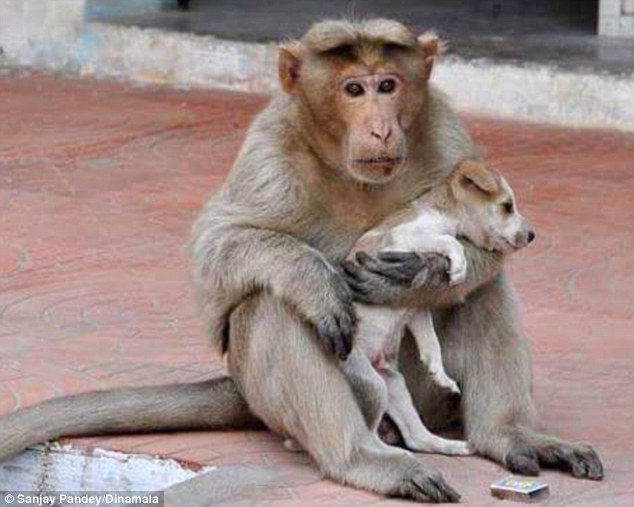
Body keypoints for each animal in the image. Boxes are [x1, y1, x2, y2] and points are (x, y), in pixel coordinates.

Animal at [340, 160, 532, 456]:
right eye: (507, 206)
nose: (532, 235)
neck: (442, 212)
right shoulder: (404, 236)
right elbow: (449, 241)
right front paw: (459, 266)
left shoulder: (415, 307)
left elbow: (431, 342)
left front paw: (439, 373)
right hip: (371, 383)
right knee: (366, 435)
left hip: (394, 384)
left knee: (417, 437)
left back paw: (454, 446)